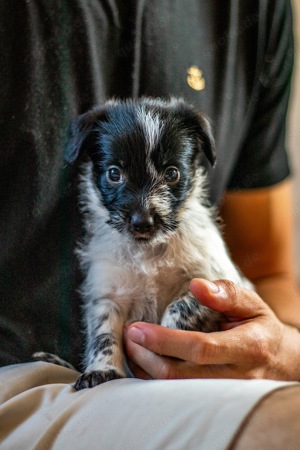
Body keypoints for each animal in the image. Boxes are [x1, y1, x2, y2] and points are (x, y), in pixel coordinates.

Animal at [35, 99, 251, 390]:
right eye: (114, 173)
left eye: (172, 173)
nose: (143, 222)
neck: (149, 252)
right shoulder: (107, 293)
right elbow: (104, 334)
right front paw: (102, 369)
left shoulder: (216, 279)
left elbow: (183, 305)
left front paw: (169, 334)